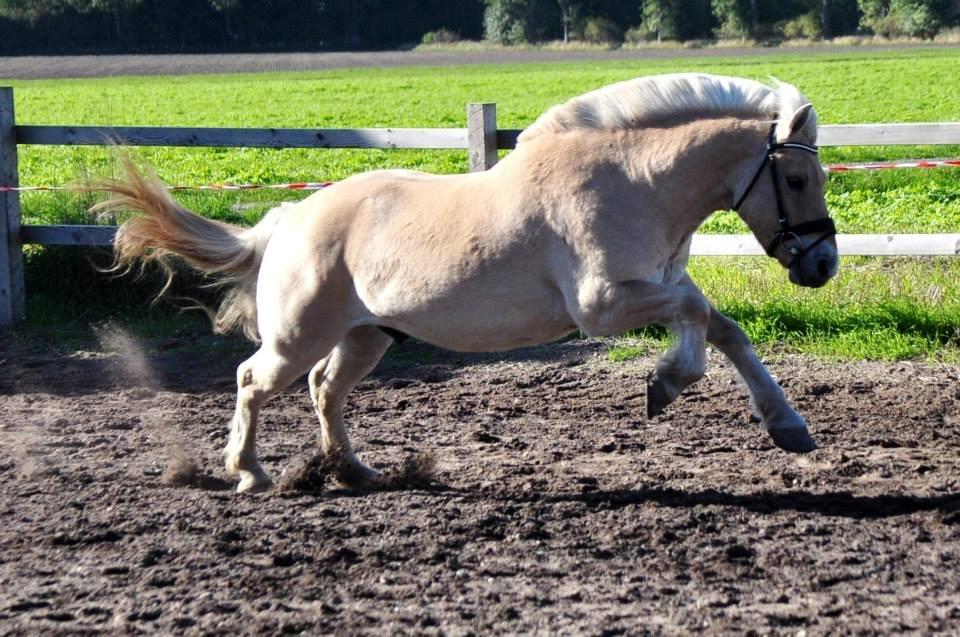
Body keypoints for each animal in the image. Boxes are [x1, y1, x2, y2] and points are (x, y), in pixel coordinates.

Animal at [94, 73, 836, 492]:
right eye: (798, 178)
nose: (823, 263)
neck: (634, 183)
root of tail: (288, 219)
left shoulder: (649, 289)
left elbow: (720, 326)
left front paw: (787, 426)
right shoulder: (602, 304)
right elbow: (702, 313)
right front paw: (669, 383)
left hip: (367, 335)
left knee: (325, 389)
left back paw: (354, 472)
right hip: (297, 337)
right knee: (254, 380)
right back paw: (249, 473)